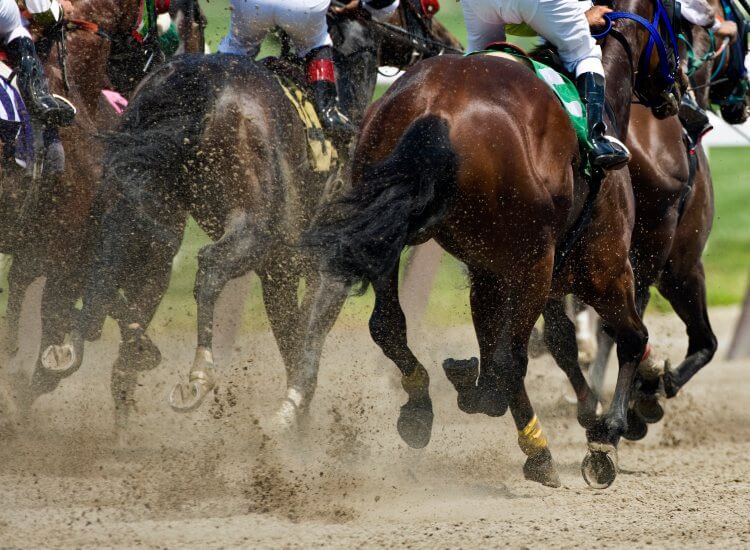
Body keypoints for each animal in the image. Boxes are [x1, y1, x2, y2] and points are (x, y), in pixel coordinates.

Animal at [39, 9, 462, 438]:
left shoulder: (279, 269)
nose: (451, 44)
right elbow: (308, 341)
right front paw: (293, 415)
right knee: (209, 266)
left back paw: (73, 347)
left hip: (144, 196)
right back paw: (198, 376)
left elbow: (291, 338)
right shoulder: (324, 264)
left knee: (111, 245)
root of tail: (195, 86)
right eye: (421, 10)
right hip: (250, 223)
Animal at [302, 0, 683, 489]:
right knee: (507, 362)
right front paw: (607, 437)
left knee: (389, 325)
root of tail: (437, 107)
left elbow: (506, 350)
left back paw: (425, 408)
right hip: (536, 262)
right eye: (676, 23)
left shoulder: (488, 271)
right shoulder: (605, 267)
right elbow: (631, 337)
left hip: (390, 228)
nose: (680, 93)